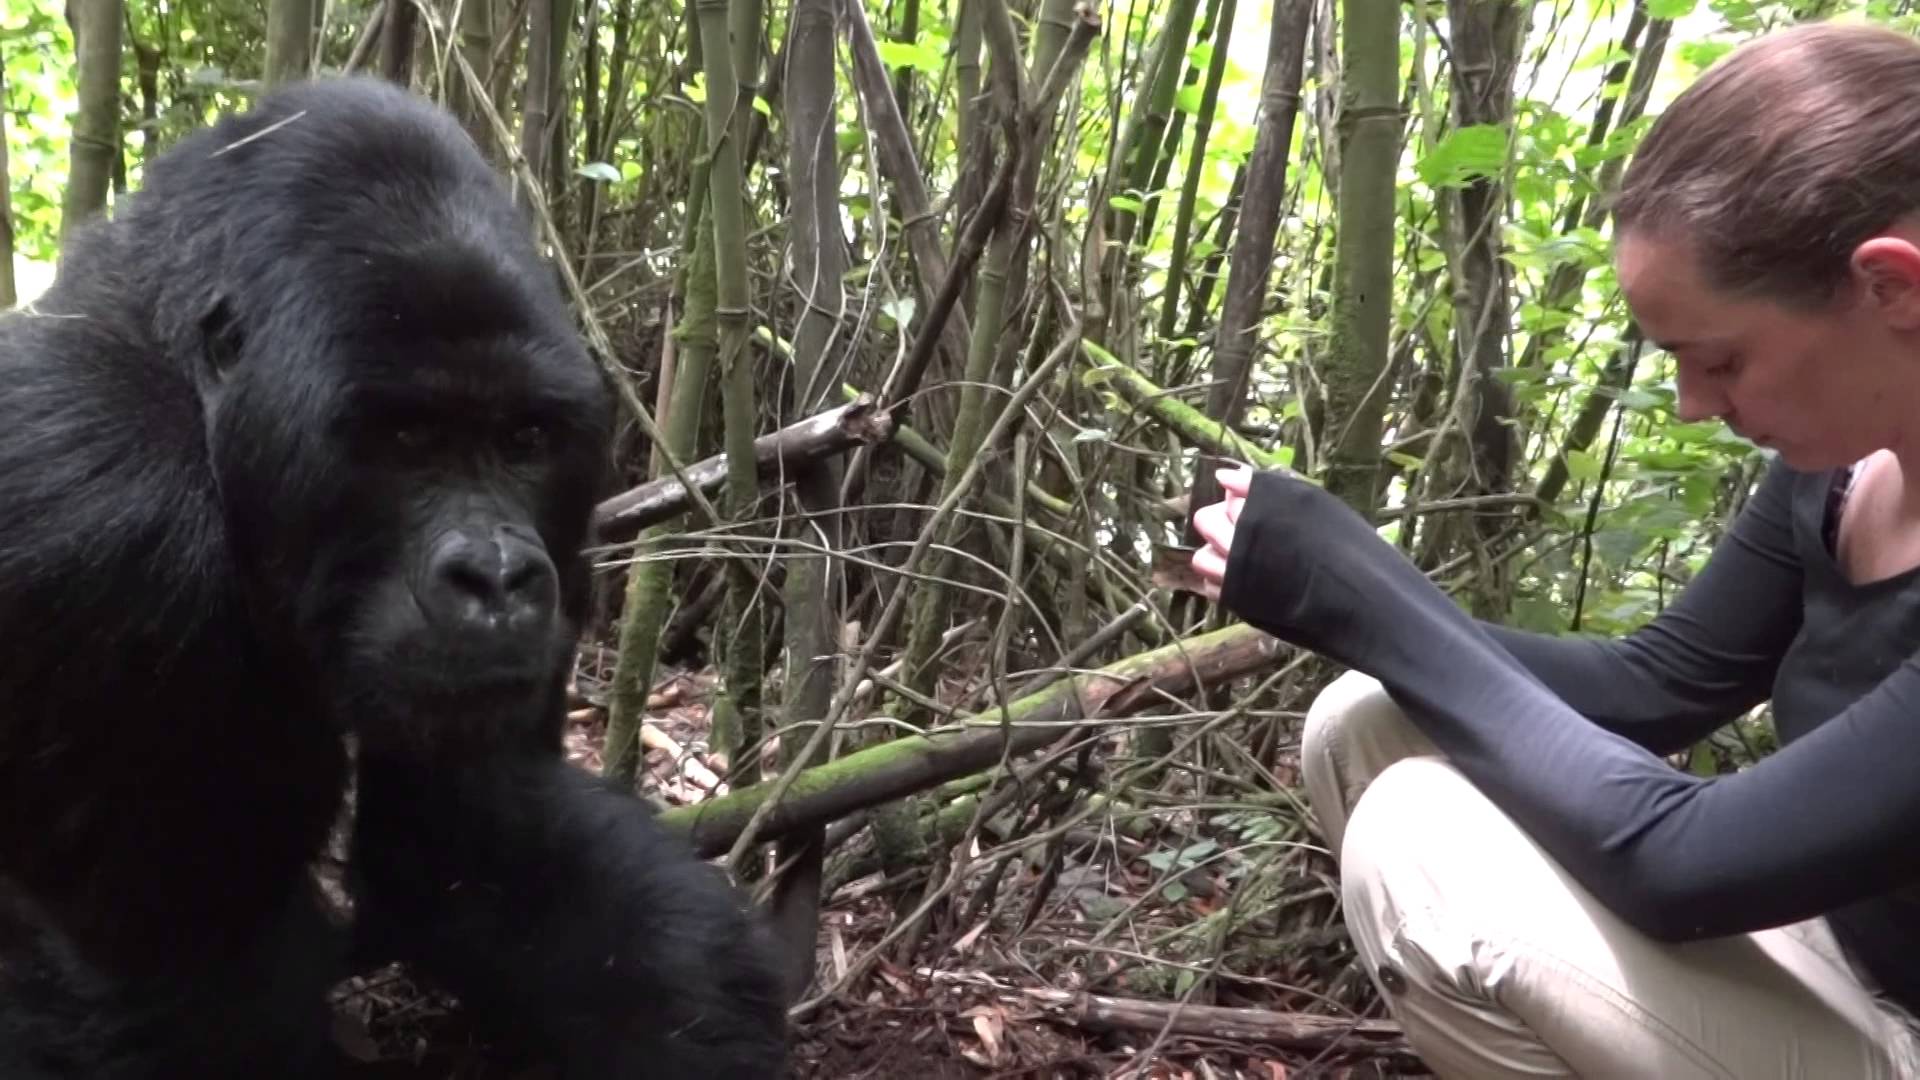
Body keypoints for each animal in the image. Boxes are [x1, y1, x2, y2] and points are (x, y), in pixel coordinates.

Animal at [0, 77, 787, 1076]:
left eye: (524, 439)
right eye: (407, 439)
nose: (497, 575)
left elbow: (460, 833)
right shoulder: (112, 519)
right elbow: (179, 975)